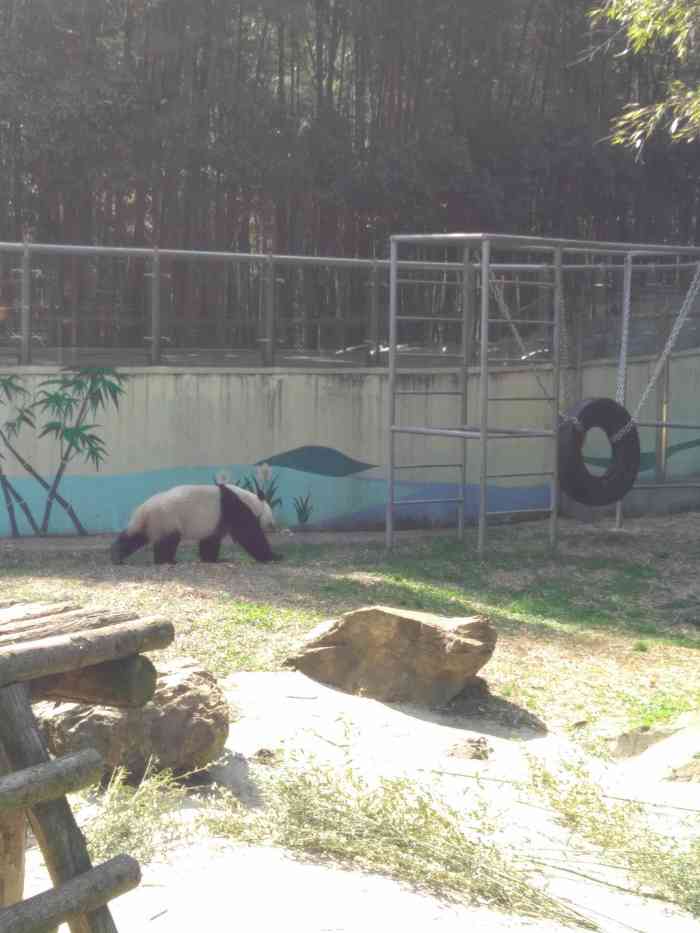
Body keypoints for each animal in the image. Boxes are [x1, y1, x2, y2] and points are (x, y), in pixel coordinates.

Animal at [112, 484, 282, 564]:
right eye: (271, 516)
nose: (274, 526)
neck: (250, 500)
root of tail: (143, 510)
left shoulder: (216, 520)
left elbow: (211, 540)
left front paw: (211, 559)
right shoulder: (235, 508)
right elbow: (249, 536)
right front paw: (273, 556)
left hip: (151, 522)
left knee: (134, 537)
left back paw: (115, 556)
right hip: (166, 517)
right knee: (167, 541)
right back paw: (167, 561)